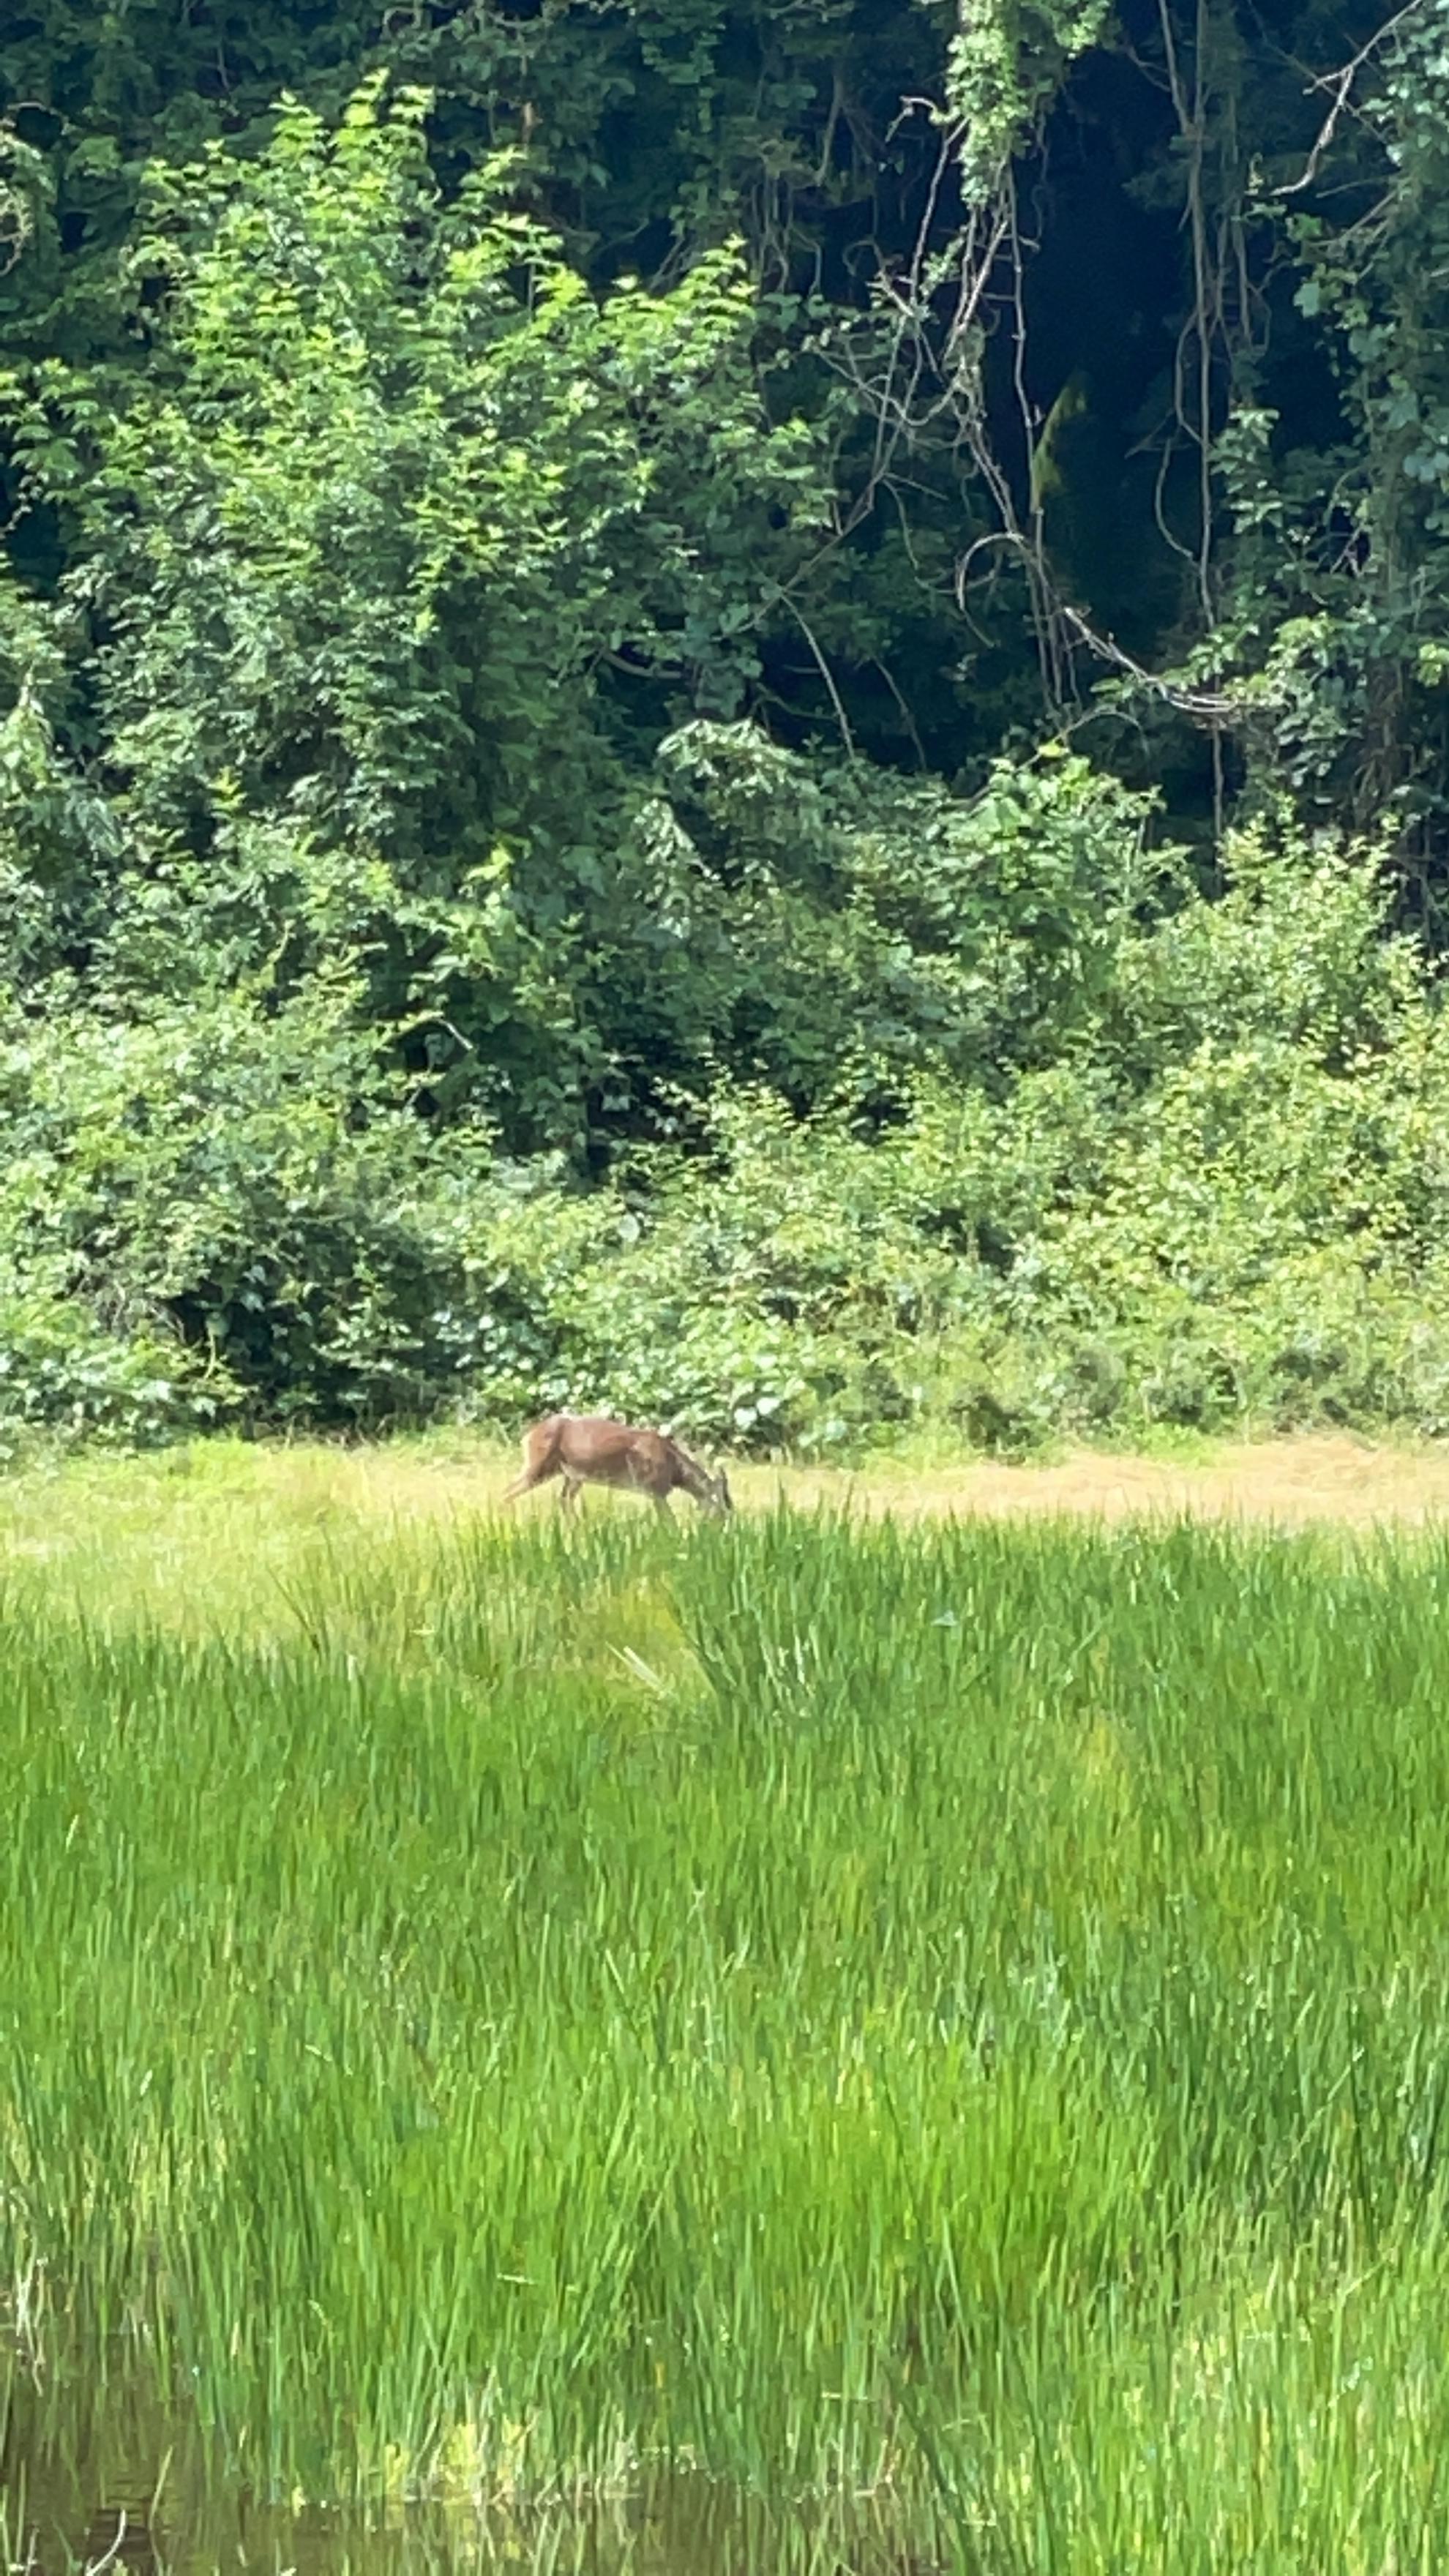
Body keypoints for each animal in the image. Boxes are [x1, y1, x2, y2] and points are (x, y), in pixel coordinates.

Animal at [500, 1422, 727, 1514]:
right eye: (722, 1511)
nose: (724, 1533)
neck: (673, 1468)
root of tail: (528, 1435)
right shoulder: (656, 1490)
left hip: (572, 1475)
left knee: (564, 1500)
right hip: (539, 1465)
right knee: (507, 1492)